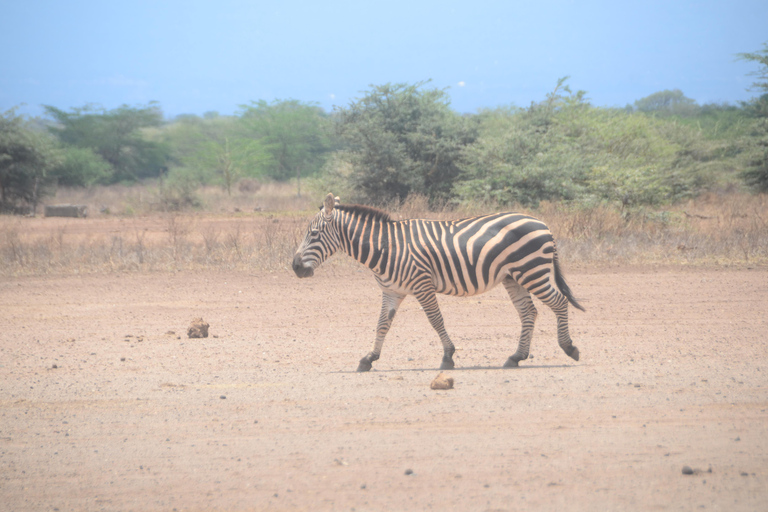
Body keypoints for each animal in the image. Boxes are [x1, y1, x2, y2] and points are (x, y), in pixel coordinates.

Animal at [292, 192, 584, 372]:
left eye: (313, 234)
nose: (295, 267)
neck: (386, 247)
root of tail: (542, 223)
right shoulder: (391, 291)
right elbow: (382, 325)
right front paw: (369, 359)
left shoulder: (422, 284)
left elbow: (435, 320)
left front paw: (448, 357)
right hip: (514, 276)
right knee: (528, 312)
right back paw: (516, 357)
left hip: (532, 271)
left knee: (558, 302)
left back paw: (569, 348)